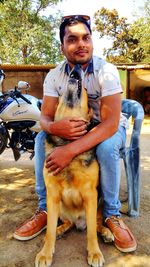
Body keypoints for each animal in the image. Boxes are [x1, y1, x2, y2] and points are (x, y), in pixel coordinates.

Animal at [35, 65, 112, 267]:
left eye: (84, 88)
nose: (76, 68)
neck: (67, 143)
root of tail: (79, 222)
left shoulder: (91, 194)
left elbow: (92, 232)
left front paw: (94, 253)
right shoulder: (52, 195)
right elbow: (49, 230)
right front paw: (45, 253)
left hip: (99, 202)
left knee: (97, 224)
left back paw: (107, 233)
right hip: (60, 207)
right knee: (66, 223)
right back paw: (61, 229)